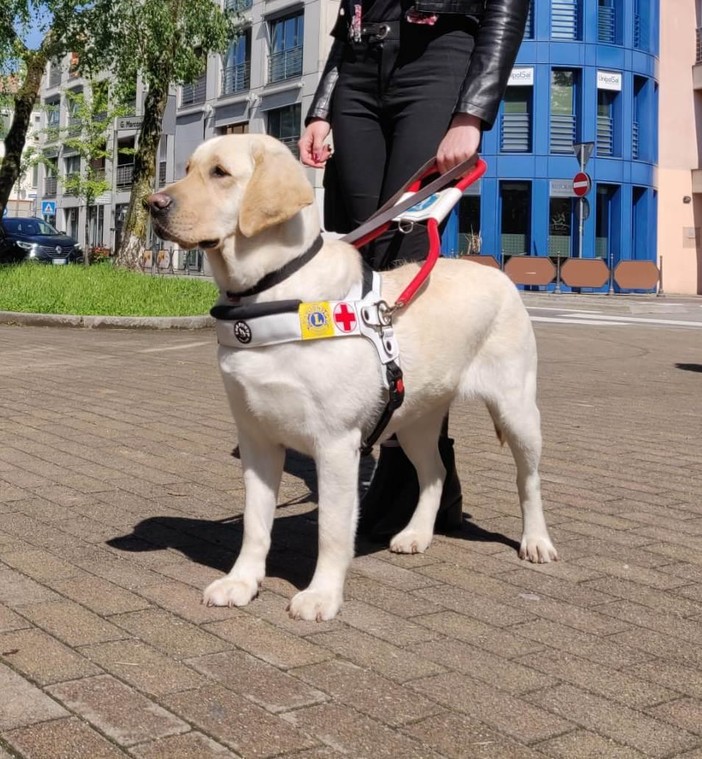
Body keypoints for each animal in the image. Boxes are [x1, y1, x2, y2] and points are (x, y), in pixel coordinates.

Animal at [146, 134, 560, 620]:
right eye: (187, 168)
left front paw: (322, 594)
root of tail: (495, 271)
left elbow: (331, 529)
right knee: (434, 472)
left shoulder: (336, 443)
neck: (269, 294)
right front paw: (241, 582)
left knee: (528, 480)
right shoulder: (256, 439)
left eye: (220, 173)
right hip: (415, 418)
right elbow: (255, 523)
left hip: (517, 410)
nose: (152, 203)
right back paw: (416, 534)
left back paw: (536, 541)